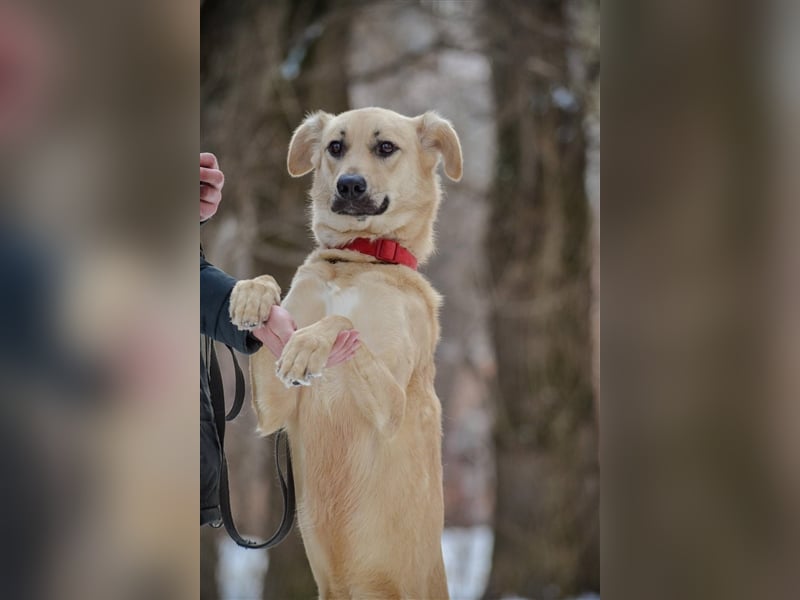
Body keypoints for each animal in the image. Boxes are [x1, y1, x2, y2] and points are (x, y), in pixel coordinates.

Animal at [228, 108, 462, 600]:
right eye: (335, 146)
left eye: (386, 147)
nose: (349, 184)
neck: (359, 260)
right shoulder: (275, 410)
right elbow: (269, 288)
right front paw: (251, 296)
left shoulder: (392, 407)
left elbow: (343, 322)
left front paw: (308, 346)